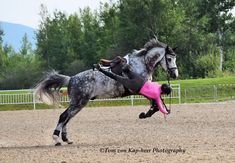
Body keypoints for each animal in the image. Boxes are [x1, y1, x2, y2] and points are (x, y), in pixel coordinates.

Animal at [34, 38, 178, 145]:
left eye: (174, 58)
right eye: (169, 59)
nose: (175, 75)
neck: (142, 64)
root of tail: (71, 79)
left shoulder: (143, 90)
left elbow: (155, 103)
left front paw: (146, 113)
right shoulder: (138, 89)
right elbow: (155, 103)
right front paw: (144, 114)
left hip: (78, 104)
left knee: (68, 117)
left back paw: (66, 139)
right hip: (79, 102)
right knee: (64, 116)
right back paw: (56, 139)